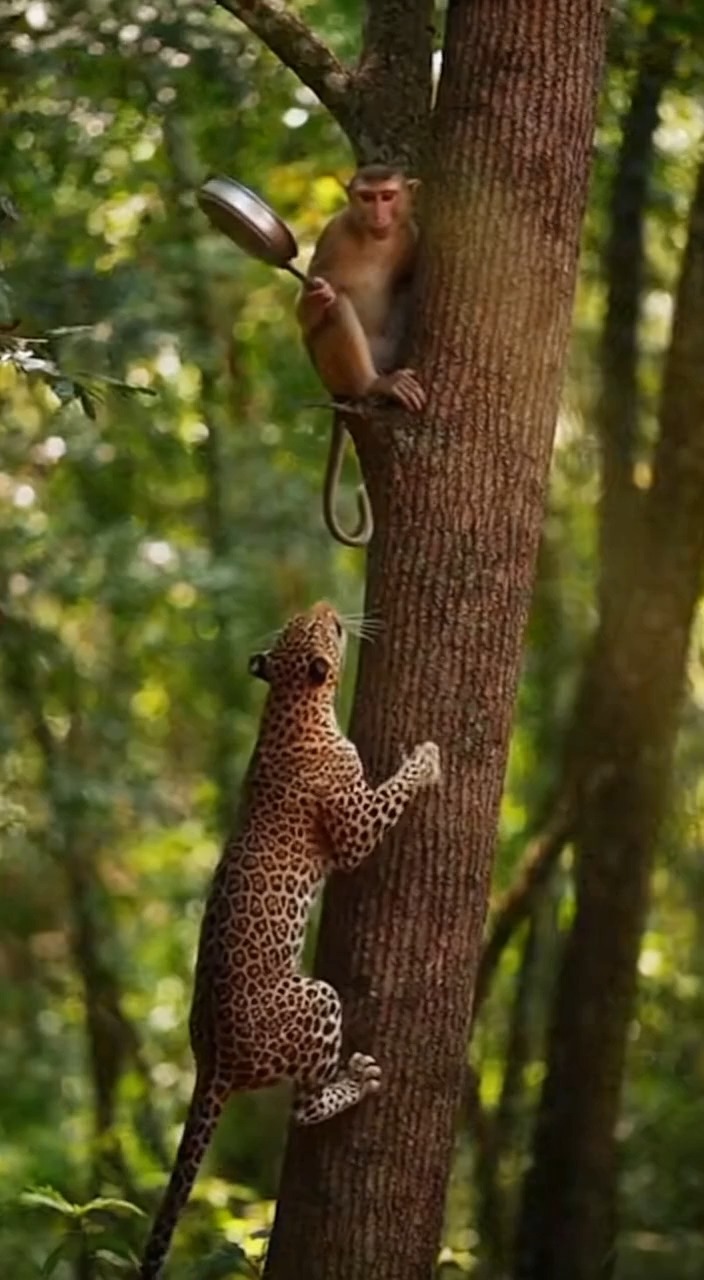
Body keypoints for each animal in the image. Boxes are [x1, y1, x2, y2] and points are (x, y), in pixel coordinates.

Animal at [139, 600, 441, 1278]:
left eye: (304, 621)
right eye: (326, 626)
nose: (330, 605)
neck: (287, 705)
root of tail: (213, 1063)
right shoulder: (353, 821)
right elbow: (386, 800)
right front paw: (427, 759)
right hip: (316, 999)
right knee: (302, 1109)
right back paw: (357, 1079)